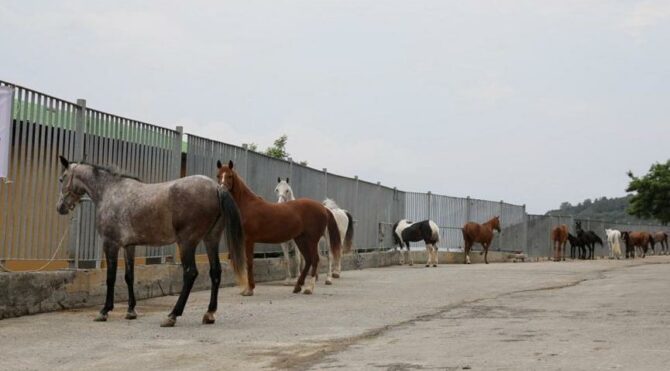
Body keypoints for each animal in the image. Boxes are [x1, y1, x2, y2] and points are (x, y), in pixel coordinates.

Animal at [54, 157, 244, 328]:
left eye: (62, 178)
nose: (60, 207)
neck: (111, 192)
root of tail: (216, 188)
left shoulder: (110, 244)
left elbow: (111, 277)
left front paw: (104, 311)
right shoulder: (128, 246)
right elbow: (129, 276)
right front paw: (131, 311)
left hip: (187, 243)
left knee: (190, 273)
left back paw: (172, 315)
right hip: (211, 239)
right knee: (215, 272)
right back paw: (209, 313)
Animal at [217, 160, 342, 296]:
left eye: (230, 176)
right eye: (218, 175)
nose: (222, 191)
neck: (248, 205)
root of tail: (323, 208)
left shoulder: (249, 240)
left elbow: (249, 262)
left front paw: (249, 289)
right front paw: (247, 289)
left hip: (312, 240)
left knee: (315, 259)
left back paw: (309, 288)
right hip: (301, 240)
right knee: (308, 260)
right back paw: (297, 287)